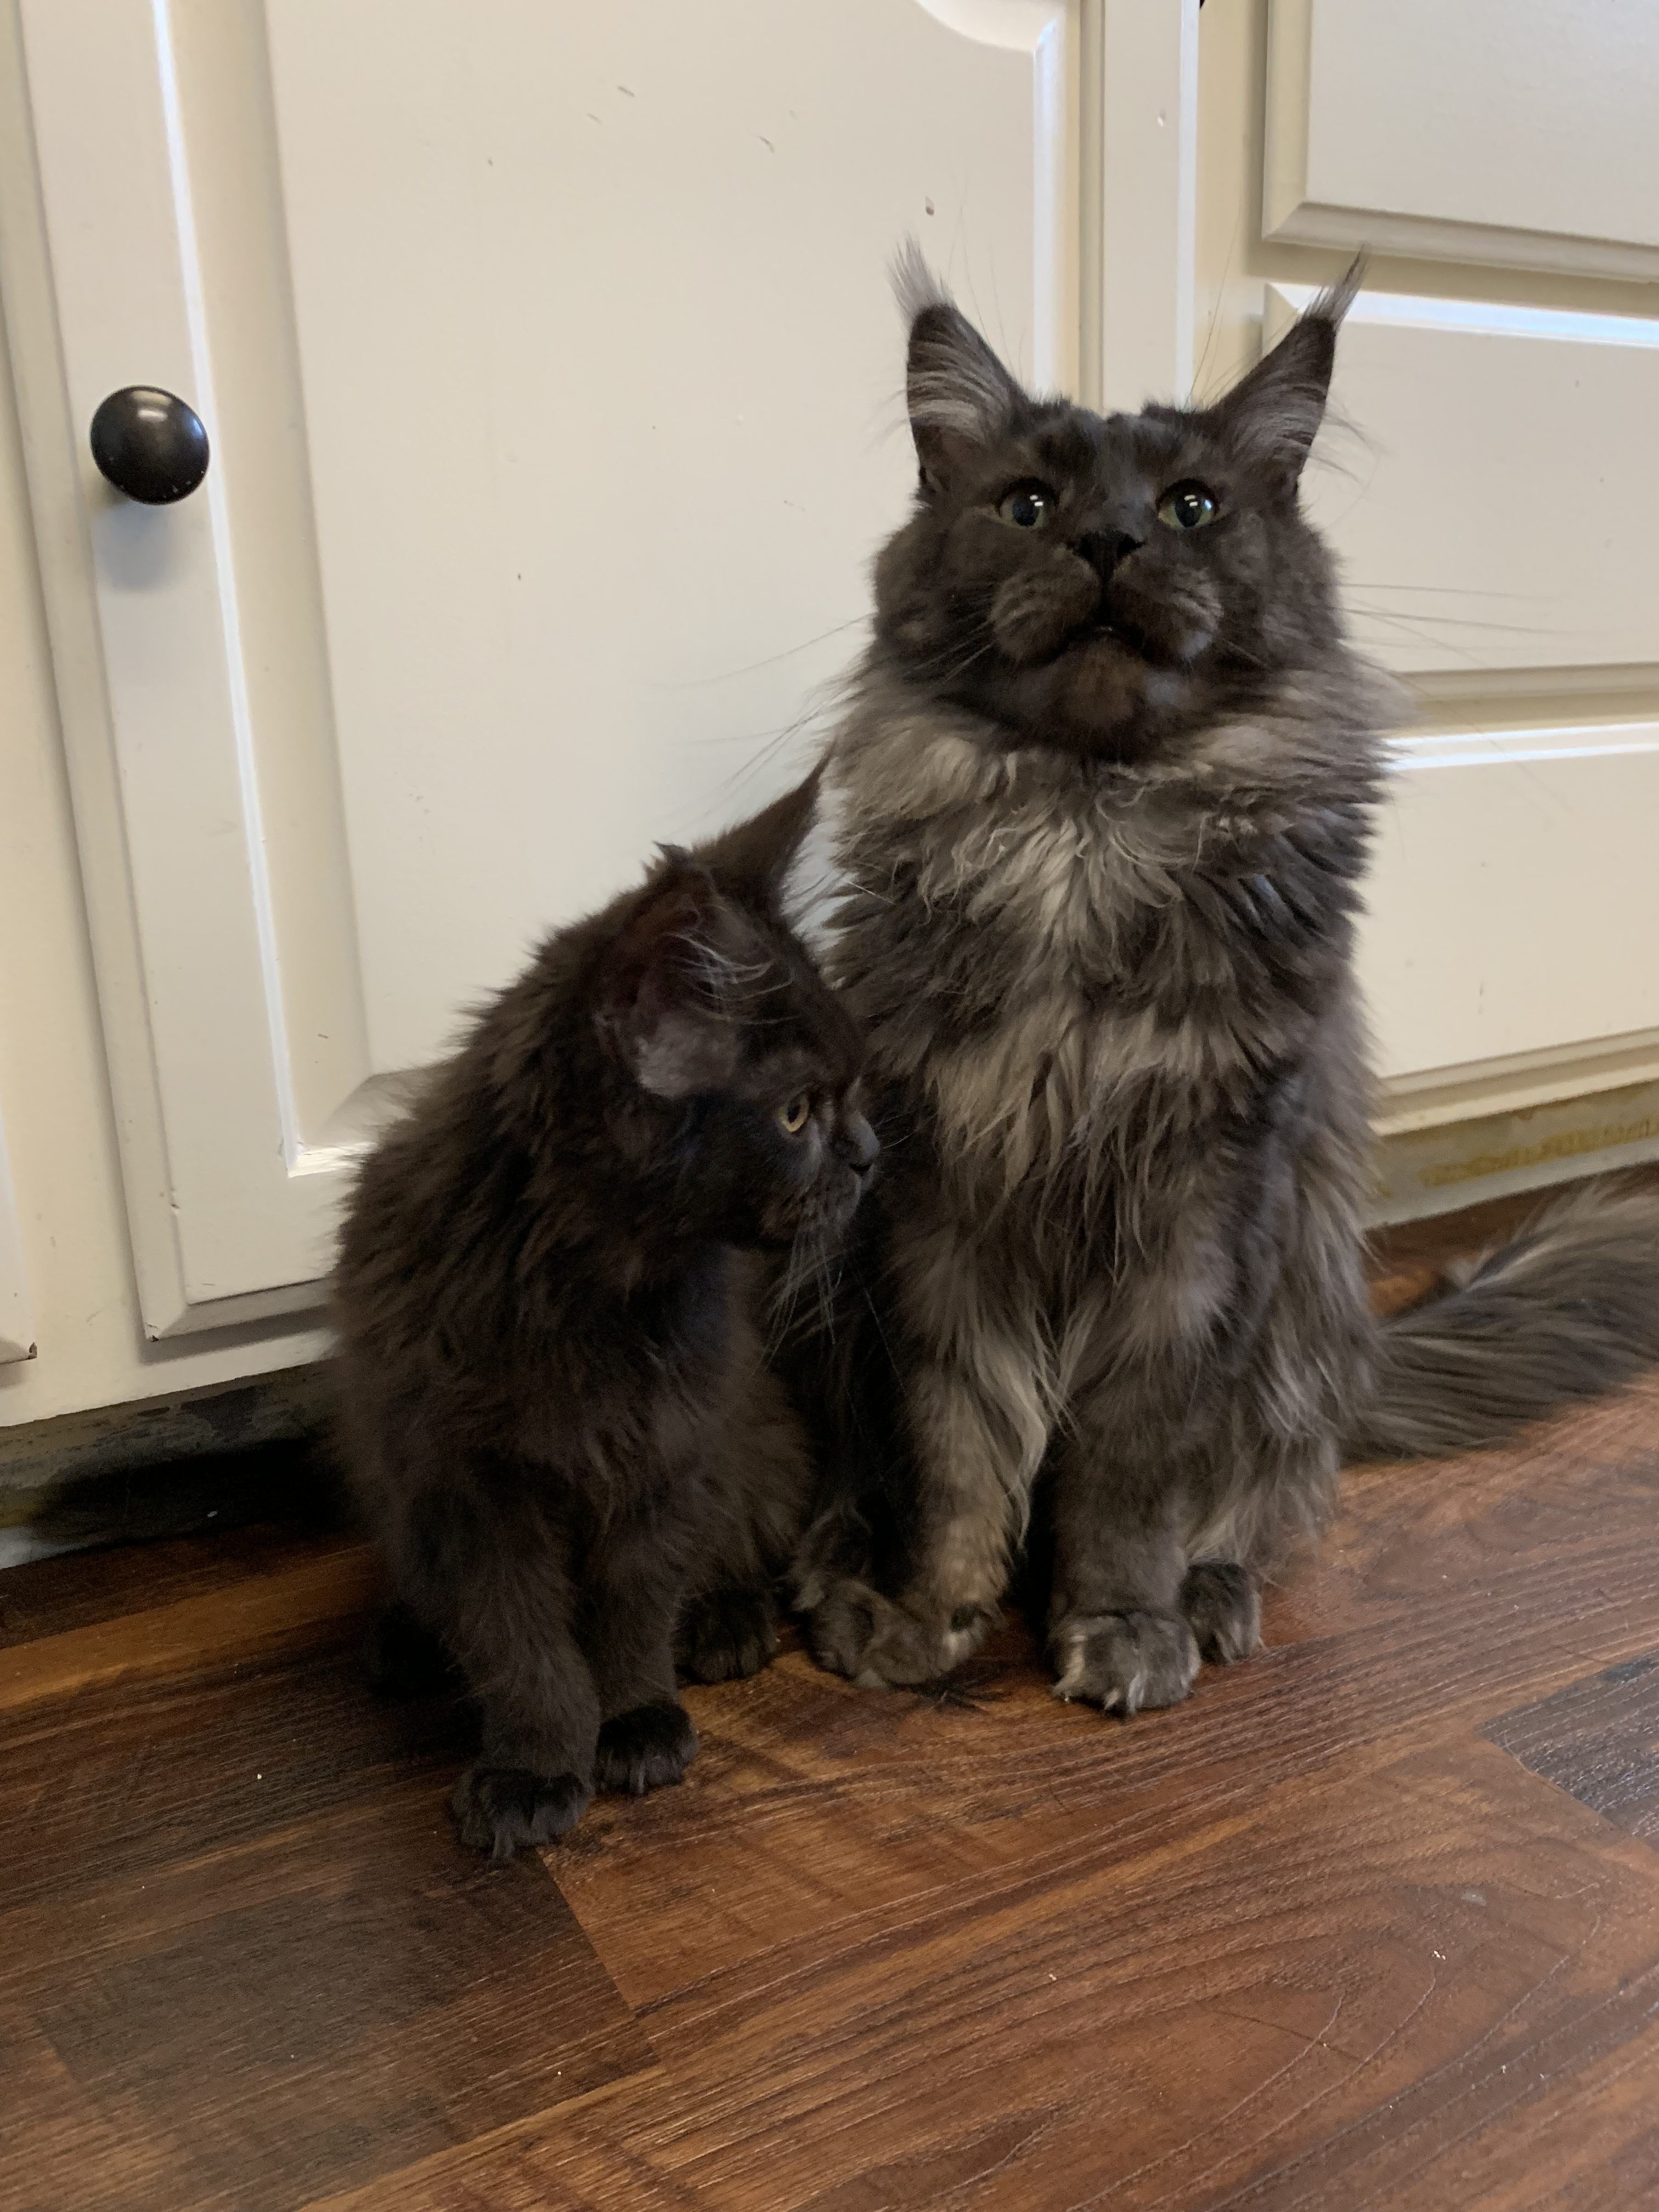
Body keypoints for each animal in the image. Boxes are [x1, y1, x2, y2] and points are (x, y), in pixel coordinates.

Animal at [342, 778, 876, 1849]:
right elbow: (516, 1639)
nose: (871, 1153)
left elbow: (634, 1604)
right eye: (797, 1113)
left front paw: (634, 1721)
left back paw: (727, 1624)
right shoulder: (463, 1486)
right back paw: (402, 1636)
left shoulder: (667, 1454)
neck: (585, 1296)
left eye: (850, 1095)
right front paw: (537, 1764)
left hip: (760, 1443)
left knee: (736, 1546)